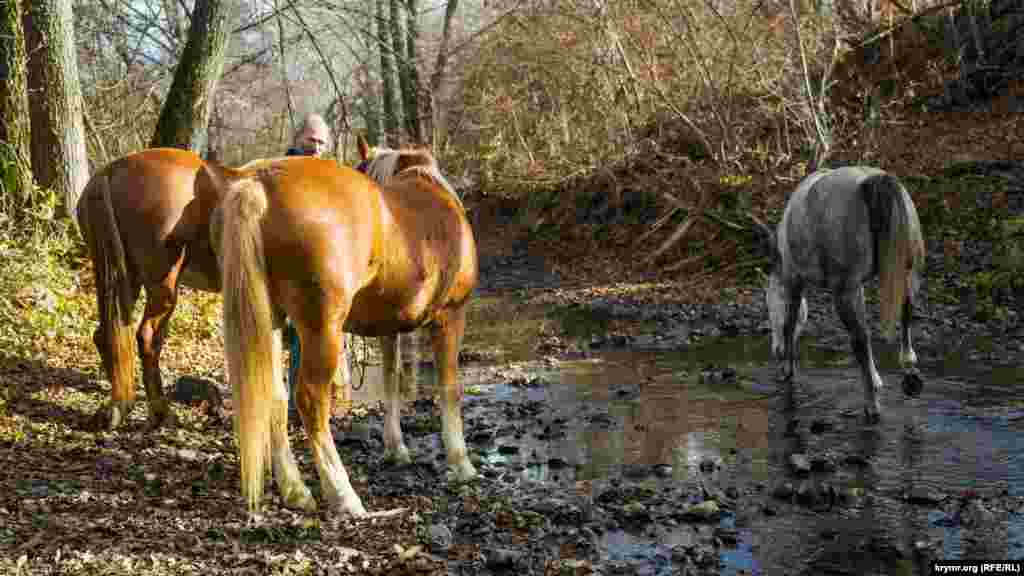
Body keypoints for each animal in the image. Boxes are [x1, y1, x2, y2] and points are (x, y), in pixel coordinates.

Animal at [76, 147, 226, 426]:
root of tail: (110, 170)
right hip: (162, 286)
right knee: (147, 338)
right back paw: (160, 411)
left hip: (124, 277)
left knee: (107, 333)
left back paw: (120, 399)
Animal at [207, 138, 479, 510]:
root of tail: (259, 182)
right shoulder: (451, 316)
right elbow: (449, 388)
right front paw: (461, 463)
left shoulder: (389, 326)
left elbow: (392, 380)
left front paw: (396, 448)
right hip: (322, 329)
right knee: (309, 400)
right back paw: (342, 494)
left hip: (271, 319)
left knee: (275, 397)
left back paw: (296, 490)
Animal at [753, 166, 929, 422]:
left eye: (769, 305)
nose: (776, 351)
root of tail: (874, 181)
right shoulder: (860, 287)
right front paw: (877, 379)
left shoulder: (795, 283)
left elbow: (789, 324)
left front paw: (787, 369)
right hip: (906, 273)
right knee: (904, 318)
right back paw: (909, 375)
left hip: (844, 293)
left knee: (859, 341)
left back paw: (872, 406)